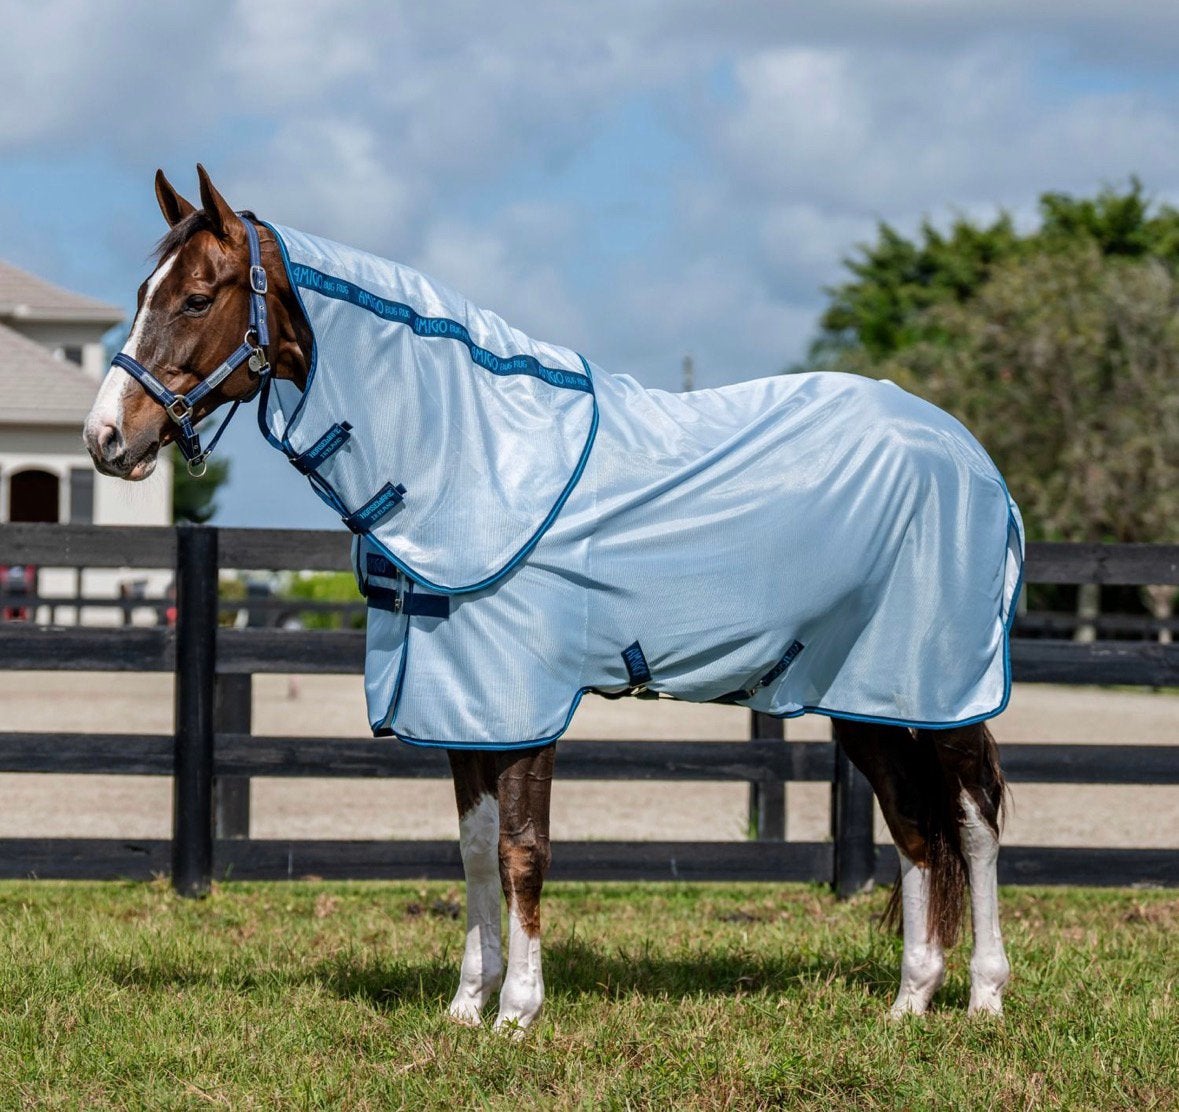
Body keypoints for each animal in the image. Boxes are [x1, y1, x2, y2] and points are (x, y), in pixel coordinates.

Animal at [83, 165, 1017, 1030]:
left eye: (196, 297)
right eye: (141, 295)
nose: (105, 439)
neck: (467, 450)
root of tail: (965, 452)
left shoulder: (521, 704)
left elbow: (522, 851)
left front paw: (518, 1012)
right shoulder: (460, 708)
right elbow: (472, 849)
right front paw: (467, 1003)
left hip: (945, 694)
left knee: (972, 821)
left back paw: (983, 998)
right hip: (864, 697)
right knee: (913, 827)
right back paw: (908, 1002)